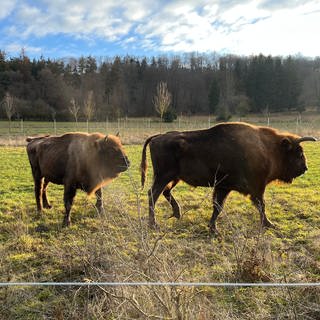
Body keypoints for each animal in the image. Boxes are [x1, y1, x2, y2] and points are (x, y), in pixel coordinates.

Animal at [141, 122, 316, 232]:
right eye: (299, 153)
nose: (305, 168)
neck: (269, 148)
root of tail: (157, 137)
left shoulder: (223, 187)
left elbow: (218, 206)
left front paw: (213, 228)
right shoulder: (257, 188)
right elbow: (261, 205)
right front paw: (269, 224)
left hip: (173, 177)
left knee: (165, 192)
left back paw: (176, 215)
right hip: (164, 176)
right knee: (153, 195)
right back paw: (154, 225)